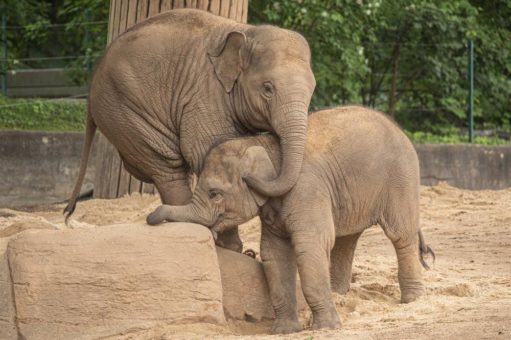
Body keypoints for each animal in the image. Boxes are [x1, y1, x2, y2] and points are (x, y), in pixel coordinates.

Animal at [65, 9, 316, 252]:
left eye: (312, 89)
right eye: (267, 88)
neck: (248, 32)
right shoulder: (204, 96)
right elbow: (205, 150)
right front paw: (235, 248)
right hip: (124, 112)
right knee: (168, 167)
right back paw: (216, 240)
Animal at [147, 105, 436, 332]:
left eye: (214, 193)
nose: (150, 217)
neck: (267, 147)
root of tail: (399, 129)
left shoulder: (307, 191)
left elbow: (310, 245)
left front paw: (326, 328)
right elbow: (274, 253)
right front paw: (285, 330)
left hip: (402, 178)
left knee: (401, 236)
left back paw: (412, 300)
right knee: (346, 240)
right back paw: (340, 296)